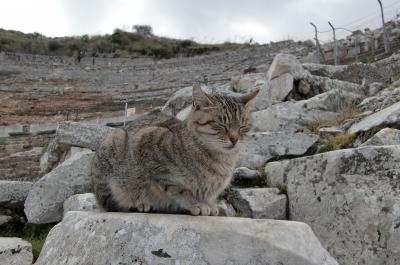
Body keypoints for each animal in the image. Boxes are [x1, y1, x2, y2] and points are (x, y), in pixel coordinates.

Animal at [91, 84, 260, 214]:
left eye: (242, 126)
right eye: (221, 124)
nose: (234, 139)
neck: (221, 160)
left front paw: (209, 204)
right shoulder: (145, 142)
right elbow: (179, 189)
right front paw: (195, 203)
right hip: (115, 143)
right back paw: (140, 204)